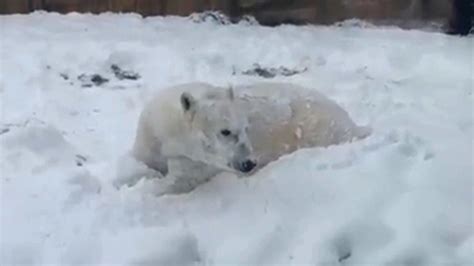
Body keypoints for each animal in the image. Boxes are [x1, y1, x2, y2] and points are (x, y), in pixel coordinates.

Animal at [130, 82, 370, 192]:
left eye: (246, 128)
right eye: (225, 131)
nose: (249, 163)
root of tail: (349, 121)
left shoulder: (196, 162)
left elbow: (178, 181)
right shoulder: (149, 133)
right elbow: (140, 161)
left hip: (316, 128)